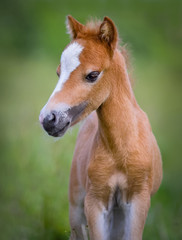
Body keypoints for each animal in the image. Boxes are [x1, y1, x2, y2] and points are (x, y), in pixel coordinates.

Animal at [39, 15, 162, 239]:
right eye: (58, 73)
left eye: (92, 74)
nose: (48, 119)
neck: (120, 149)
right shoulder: (94, 201)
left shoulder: (139, 200)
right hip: (76, 207)